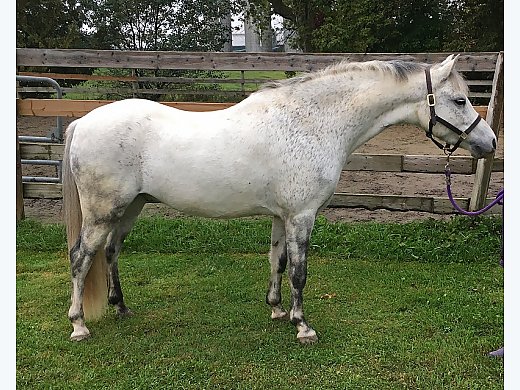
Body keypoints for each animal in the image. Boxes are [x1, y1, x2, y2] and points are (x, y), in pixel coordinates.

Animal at [64, 54, 496, 342]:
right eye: (459, 100)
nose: (490, 143)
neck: (312, 122)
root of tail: (82, 123)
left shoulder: (281, 215)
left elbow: (278, 261)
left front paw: (275, 309)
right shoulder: (302, 215)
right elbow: (299, 271)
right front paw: (302, 325)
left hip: (131, 207)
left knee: (112, 252)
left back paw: (121, 307)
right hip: (103, 211)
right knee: (82, 257)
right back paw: (79, 324)